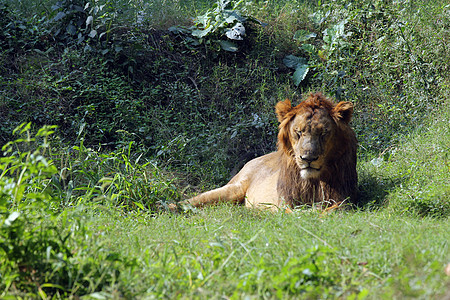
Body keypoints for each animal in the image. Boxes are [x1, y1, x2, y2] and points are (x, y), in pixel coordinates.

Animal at [172, 92, 358, 212]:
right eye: (298, 132)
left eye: (323, 133)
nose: (308, 158)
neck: (312, 181)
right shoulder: (285, 202)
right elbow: (296, 211)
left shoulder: (344, 198)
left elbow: (333, 208)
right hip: (234, 188)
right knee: (194, 199)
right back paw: (169, 206)